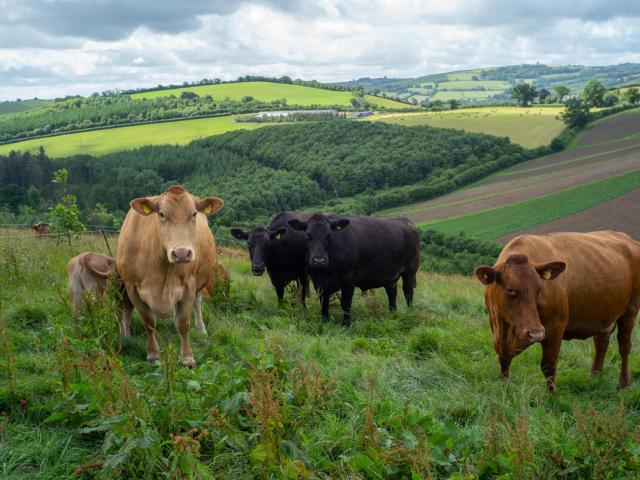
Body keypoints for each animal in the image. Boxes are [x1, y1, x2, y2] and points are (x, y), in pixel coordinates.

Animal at [116, 185, 223, 367]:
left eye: (193, 214)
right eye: (161, 214)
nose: (181, 253)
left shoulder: (188, 285)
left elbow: (183, 323)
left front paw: (187, 357)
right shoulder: (131, 287)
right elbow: (148, 322)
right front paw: (153, 354)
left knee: (197, 302)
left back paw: (201, 329)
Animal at [288, 214, 420, 325]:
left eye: (329, 236)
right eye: (308, 236)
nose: (319, 260)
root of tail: (406, 221)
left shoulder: (348, 279)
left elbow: (345, 303)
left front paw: (346, 324)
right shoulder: (318, 281)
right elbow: (323, 302)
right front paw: (324, 320)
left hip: (410, 269)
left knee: (408, 292)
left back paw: (410, 312)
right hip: (390, 275)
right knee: (392, 293)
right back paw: (392, 313)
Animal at [475, 231, 640, 392]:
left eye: (539, 289)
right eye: (510, 289)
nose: (535, 333)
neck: (505, 328)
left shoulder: (555, 327)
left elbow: (548, 365)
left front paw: (552, 394)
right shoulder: (497, 327)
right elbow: (504, 359)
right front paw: (504, 385)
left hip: (630, 309)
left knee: (624, 345)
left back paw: (623, 383)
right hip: (604, 315)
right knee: (601, 343)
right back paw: (595, 375)